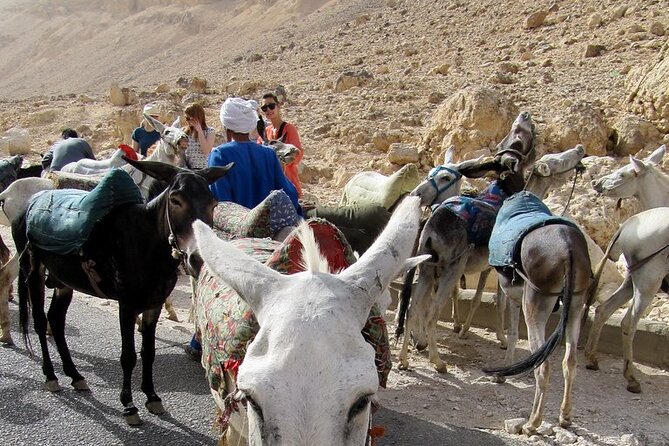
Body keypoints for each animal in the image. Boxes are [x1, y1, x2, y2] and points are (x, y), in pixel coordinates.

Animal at [12, 159, 233, 425]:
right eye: (175, 200)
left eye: (213, 203)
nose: (199, 259)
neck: (146, 243)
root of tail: (29, 203)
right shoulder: (126, 306)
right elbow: (128, 356)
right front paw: (129, 405)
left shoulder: (154, 304)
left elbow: (148, 352)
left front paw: (152, 397)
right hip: (32, 271)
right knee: (39, 322)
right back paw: (51, 376)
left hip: (64, 281)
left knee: (55, 320)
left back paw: (75, 375)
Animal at [396, 111, 537, 373]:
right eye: (518, 136)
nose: (525, 116)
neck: (502, 193)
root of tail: (432, 224)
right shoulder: (494, 269)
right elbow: (497, 300)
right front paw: (500, 338)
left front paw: (460, 328)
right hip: (449, 268)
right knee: (430, 311)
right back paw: (437, 361)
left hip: (428, 268)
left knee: (411, 308)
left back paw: (405, 359)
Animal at [482, 190, 592, 435]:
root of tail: (568, 248)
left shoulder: (513, 295)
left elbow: (512, 332)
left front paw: (501, 373)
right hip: (576, 305)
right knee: (570, 362)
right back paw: (565, 416)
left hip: (534, 304)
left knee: (543, 365)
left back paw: (533, 422)